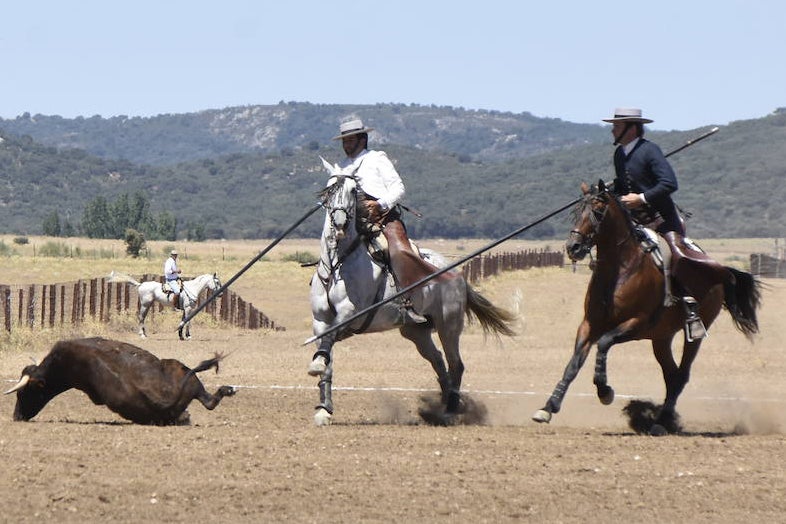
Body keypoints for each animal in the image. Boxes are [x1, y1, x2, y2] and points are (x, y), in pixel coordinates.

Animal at [304, 159, 516, 426]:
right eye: (330, 188)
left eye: (353, 190)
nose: (339, 224)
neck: (338, 264)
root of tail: (456, 274)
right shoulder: (321, 320)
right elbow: (327, 354)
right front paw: (324, 408)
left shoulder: (350, 312)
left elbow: (330, 339)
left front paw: (317, 371)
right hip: (417, 332)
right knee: (439, 361)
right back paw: (443, 406)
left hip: (448, 326)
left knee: (456, 364)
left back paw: (450, 411)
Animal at [528, 180, 756, 434]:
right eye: (576, 212)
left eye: (597, 211)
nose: (573, 247)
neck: (619, 270)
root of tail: (720, 270)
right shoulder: (589, 325)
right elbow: (573, 364)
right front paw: (548, 407)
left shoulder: (636, 324)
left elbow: (604, 344)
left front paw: (605, 391)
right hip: (661, 338)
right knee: (671, 375)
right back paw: (662, 419)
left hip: (695, 334)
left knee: (681, 375)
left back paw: (661, 421)